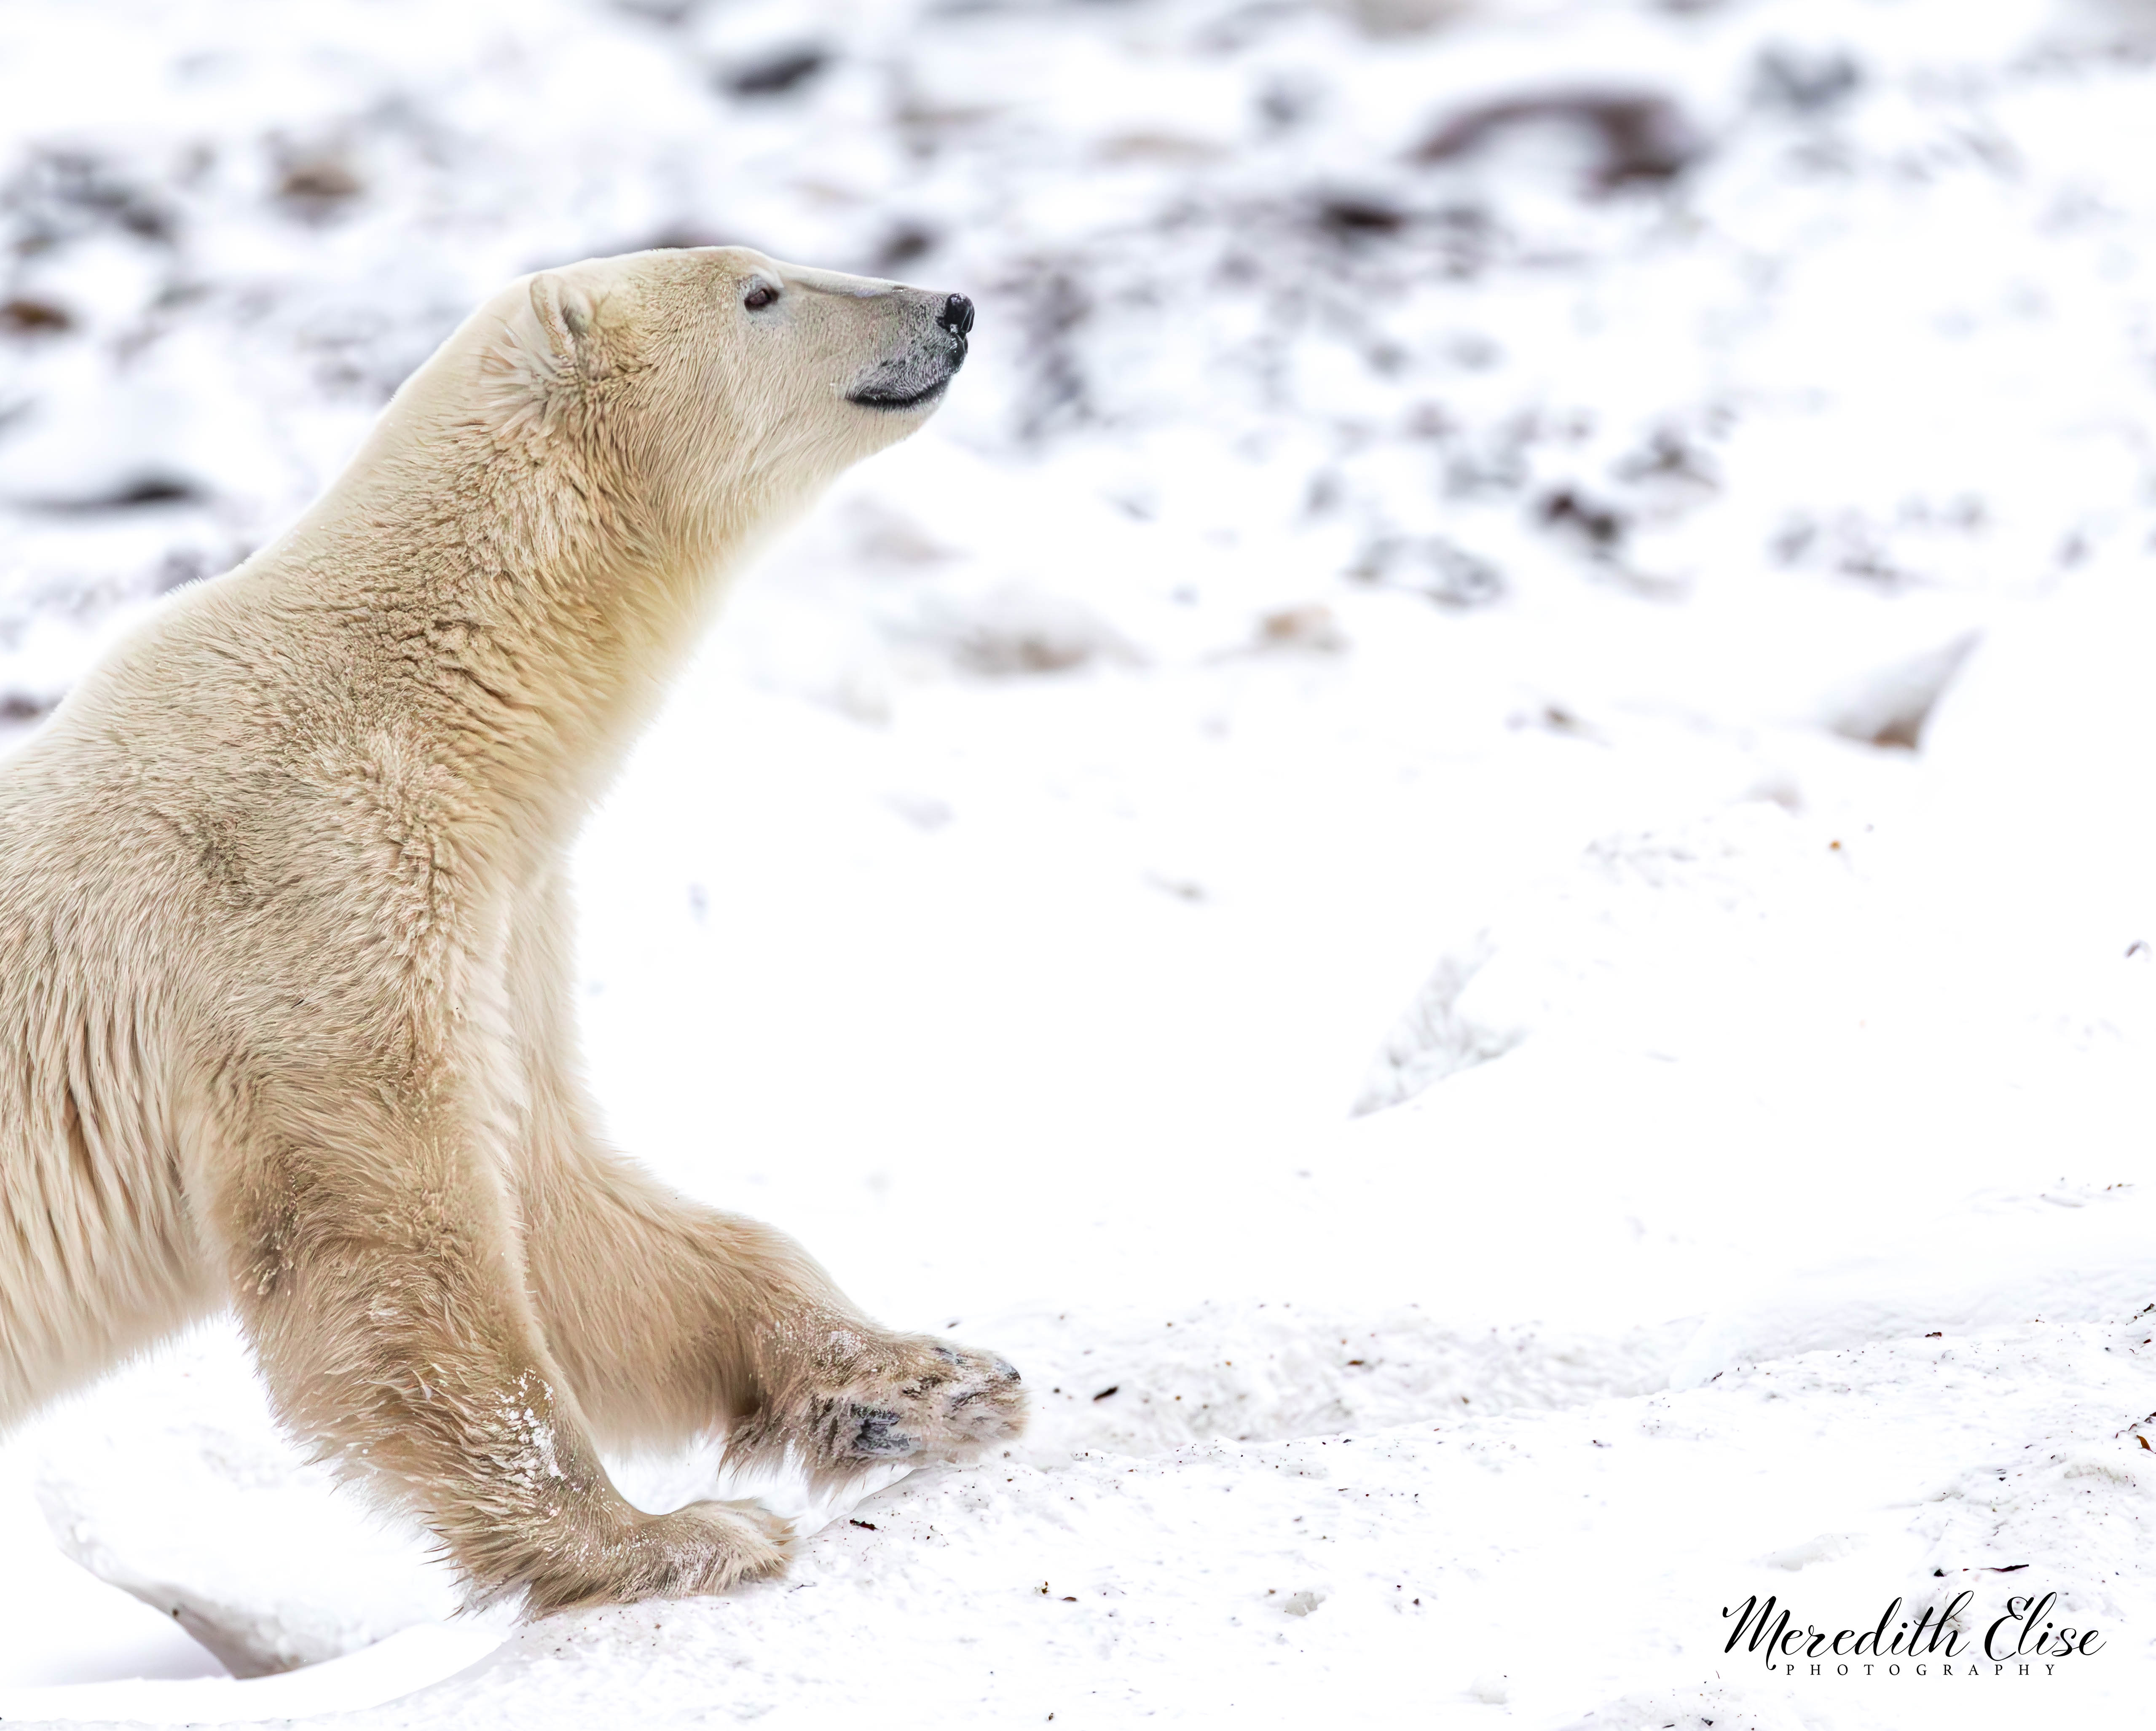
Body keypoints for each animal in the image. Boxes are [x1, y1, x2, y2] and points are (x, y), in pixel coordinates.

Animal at [0, 247, 1024, 1613]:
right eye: (760, 292)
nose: (950, 305)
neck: (417, 697)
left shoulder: (502, 914)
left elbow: (569, 1205)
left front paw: (926, 1380)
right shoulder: (310, 884)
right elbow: (393, 1237)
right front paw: (669, 1533)